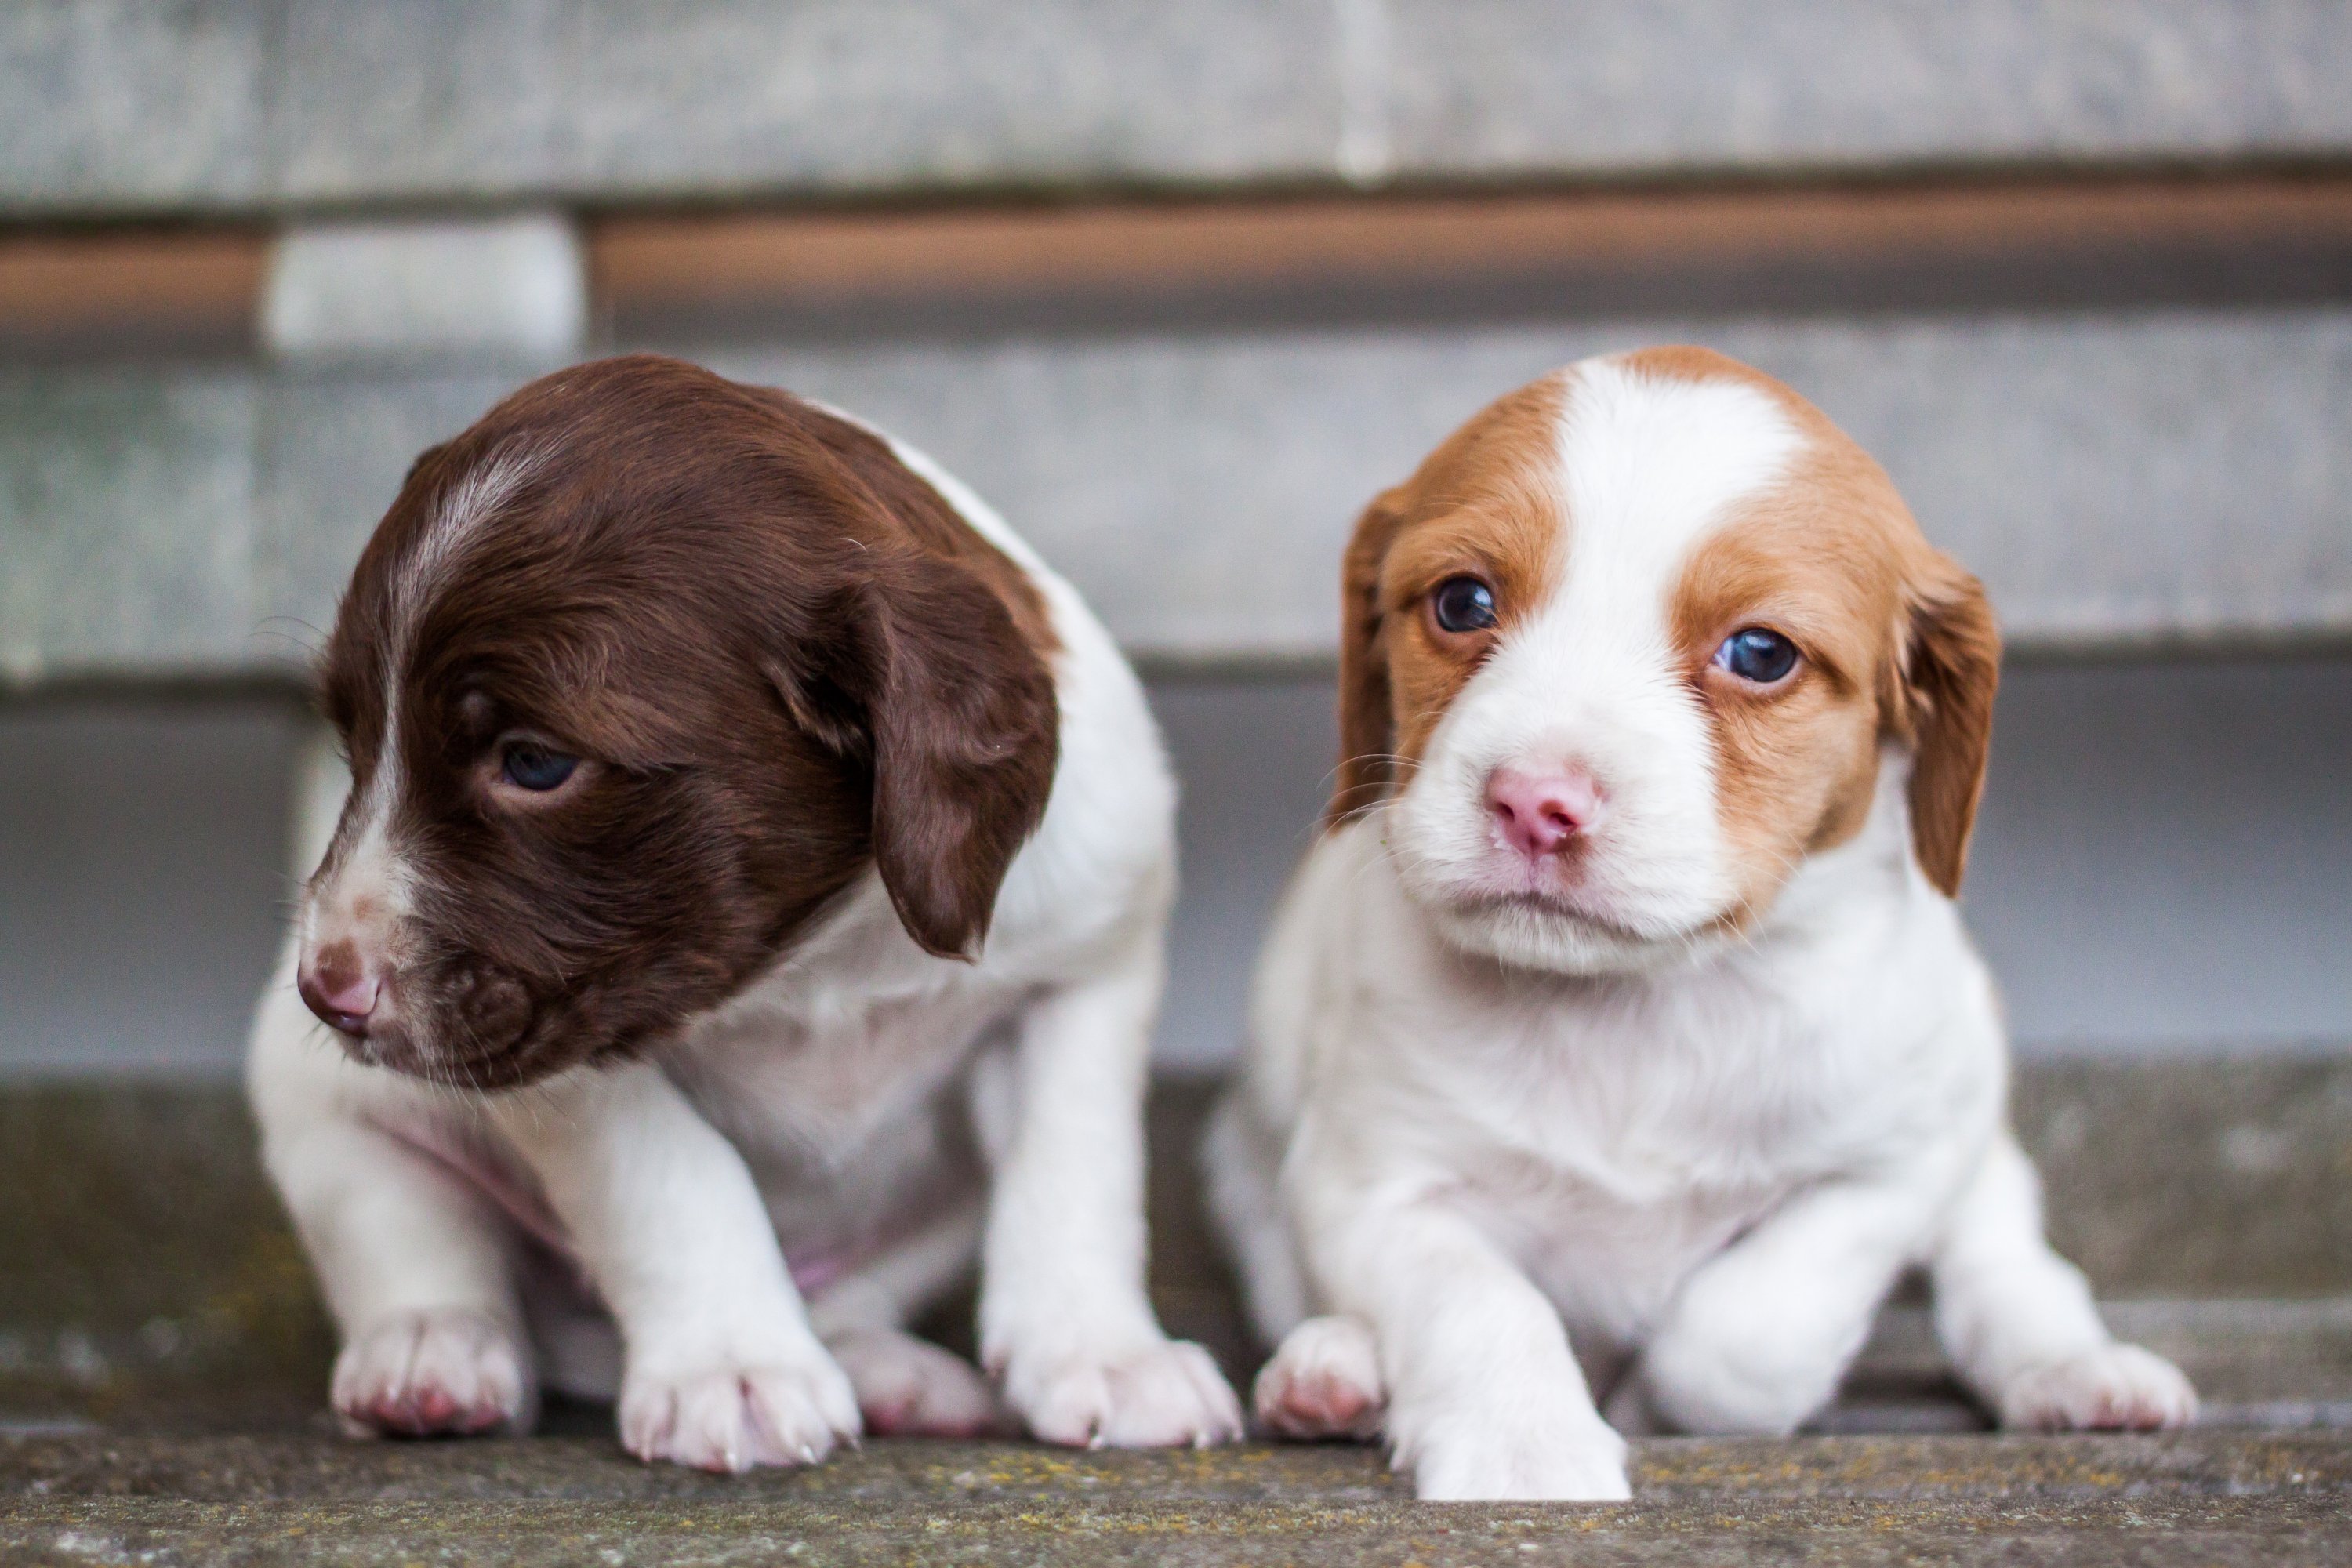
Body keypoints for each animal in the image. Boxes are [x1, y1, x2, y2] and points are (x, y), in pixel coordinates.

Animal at [252, 352, 1251, 1476]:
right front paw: (730, 1367)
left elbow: (1072, 1168)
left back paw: (885, 1368)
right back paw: (434, 1348)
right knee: (417, 1238)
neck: (822, 954)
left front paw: (1103, 1349)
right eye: (352, 742)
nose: (327, 989)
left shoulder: (1079, 975)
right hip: (326, 1122)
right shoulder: (572, 1025)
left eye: (535, 763)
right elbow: (677, 1177)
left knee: (859, 1291)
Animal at [1204, 350, 2192, 1504]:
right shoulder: (1374, 1178)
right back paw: (1334, 1374)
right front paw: (1525, 1449)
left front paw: (1658, 1401)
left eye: (1760, 653)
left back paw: (2078, 1371)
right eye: (1461, 600)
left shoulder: (1903, 1153)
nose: (1536, 801)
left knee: (2009, 1267)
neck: (1637, 1005)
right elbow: (1480, 1301)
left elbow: (1748, 1330)